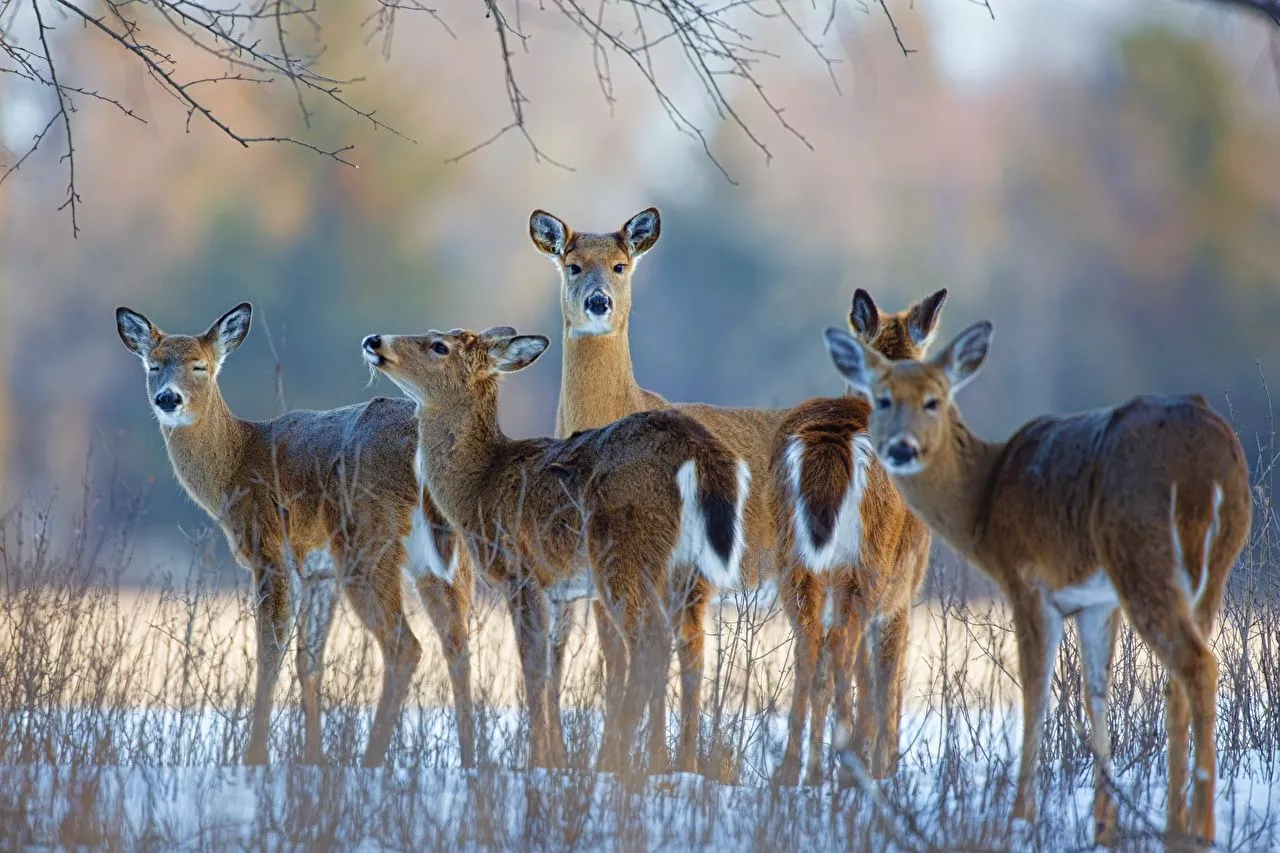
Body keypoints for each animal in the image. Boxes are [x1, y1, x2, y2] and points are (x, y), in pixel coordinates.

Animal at [116, 303, 476, 769]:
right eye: (154, 365)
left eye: (200, 366)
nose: (168, 398)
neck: (235, 464)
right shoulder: (319, 571)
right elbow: (309, 660)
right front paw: (312, 759)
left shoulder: (270, 549)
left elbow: (270, 652)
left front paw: (255, 757)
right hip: (445, 555)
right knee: (457, 643)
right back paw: (471, 761)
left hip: (366, 537)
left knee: (406, 647)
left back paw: (371, 761)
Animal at [361, 326, 749, 772]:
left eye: (438, 346)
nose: (374, 340)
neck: (478, 484)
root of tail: (698, 451)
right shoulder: (557, 588)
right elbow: (550, 672)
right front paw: (554, 760)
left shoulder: (520, 570)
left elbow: (532, 669)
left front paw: (535, 762)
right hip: (688, 567)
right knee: (692, 645)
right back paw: (677, 765)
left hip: (624, 549)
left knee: (650, 640)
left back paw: (618, 759)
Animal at [771, 287, 947, 788]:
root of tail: (833, 438)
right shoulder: (903, 592)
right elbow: (888, 677)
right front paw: (886, 763)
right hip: (869, 562)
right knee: (843, 649)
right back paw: (846, 763)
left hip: (794, 561)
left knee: (812, 647)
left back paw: (796, 769)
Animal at [823, 319, 1251, 847]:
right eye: (882, 399)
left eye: (933, 400)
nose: (903, 448)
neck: (983, 498)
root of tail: (1203, 468)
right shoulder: (1094, 600)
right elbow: (1094, 694)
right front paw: (1104, 825)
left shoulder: (1026, 579)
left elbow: (1035, 693)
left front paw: (1021, 815)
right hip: (1213, 567)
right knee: (1182, 678)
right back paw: (1177, 825)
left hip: (1141, 553)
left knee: (1197, 665)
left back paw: (1201, 829)